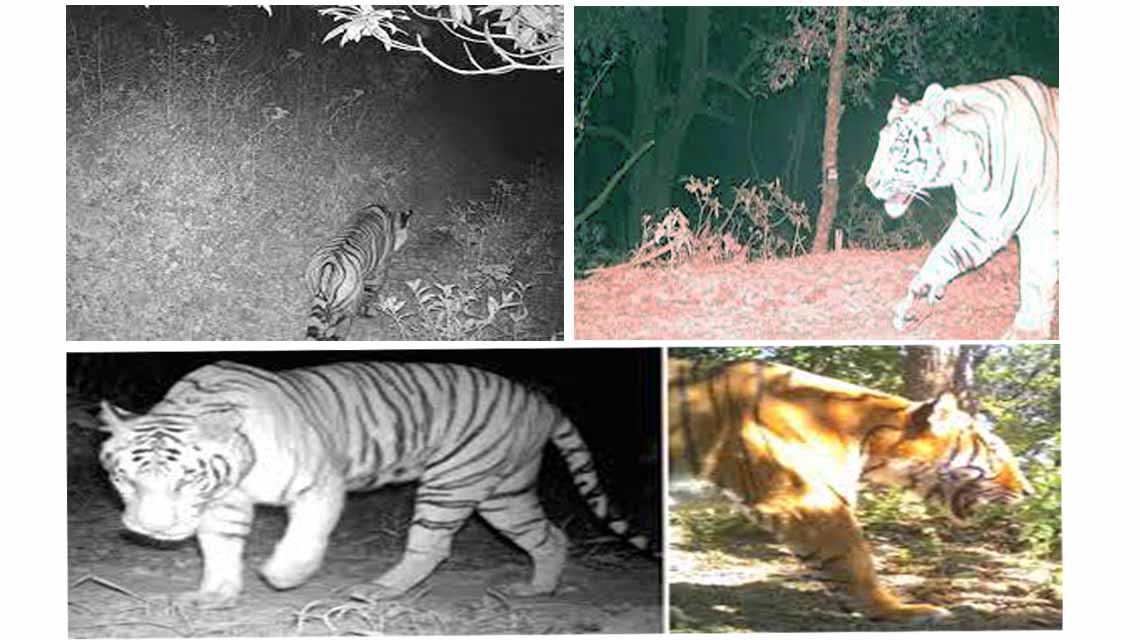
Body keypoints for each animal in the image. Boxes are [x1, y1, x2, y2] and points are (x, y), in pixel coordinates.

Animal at [98, 360, 649, 609]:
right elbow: (218, 550)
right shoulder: (224, 503)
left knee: (433, 546)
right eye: (126, 478)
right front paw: (214, 595)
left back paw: (379, 590)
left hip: (452, 483)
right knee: (550, 536)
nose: (153, 528)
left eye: (185, 480)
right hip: (504, 494)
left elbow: (305, 538)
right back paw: (537, 589)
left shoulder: (320, 484)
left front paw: (282, 575)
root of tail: (541, 402)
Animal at [305, 204, 412, 340]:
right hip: (344, 305)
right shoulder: (378, 271)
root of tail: (330, 267)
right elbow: (368, 294)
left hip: (317, 293)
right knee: (338, 325)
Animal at [668, 358, 1032, 623]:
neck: (868, 440)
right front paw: (899, 611)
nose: (1028, 492)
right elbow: (855, 560)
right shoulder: (806, 498)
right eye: (994, 452)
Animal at [865, 75, 1059, 339]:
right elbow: (941, 256)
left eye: (897, 146)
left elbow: (1034, 279)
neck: (969, 169)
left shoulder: (1040, 226)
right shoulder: (980, 224)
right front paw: (914, 302)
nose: (869, 183)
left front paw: (1027, 331)